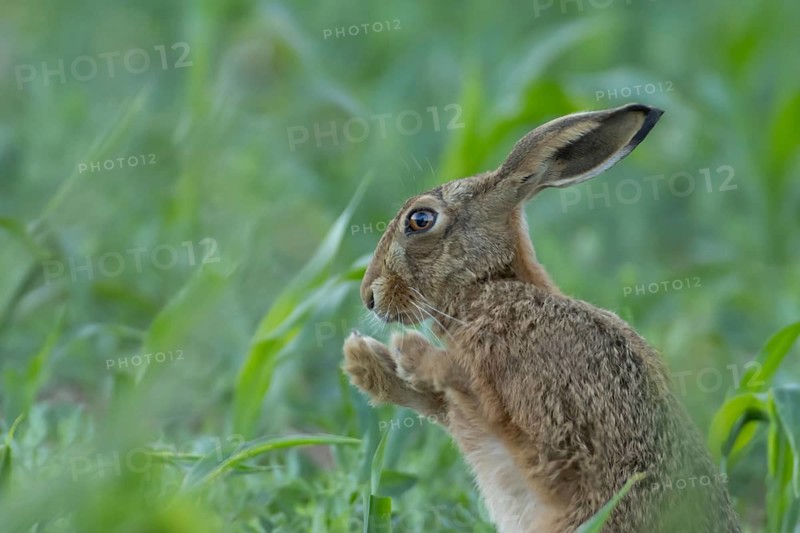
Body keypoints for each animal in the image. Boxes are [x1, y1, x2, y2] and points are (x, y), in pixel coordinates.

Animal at [342, 103, 741, 533]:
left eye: (420, 220)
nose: (368, 297)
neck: (490, 285)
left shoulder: (549, 420)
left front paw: (410, 351)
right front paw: (363, 360)